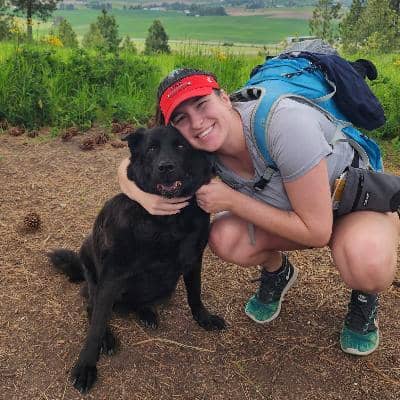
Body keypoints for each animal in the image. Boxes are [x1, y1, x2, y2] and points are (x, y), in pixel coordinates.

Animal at [48, 125, 226, 394]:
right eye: (151, 148)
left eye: (181, 145)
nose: (165, 167)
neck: (168, 221)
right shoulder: (112, 276)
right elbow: (96, 324)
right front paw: (86, 366)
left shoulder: (194, 259)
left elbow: (195, 294)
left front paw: (204, 318)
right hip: (90, 263)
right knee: (91, 306)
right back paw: (108, 337)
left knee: (139, 302)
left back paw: (146, 313)